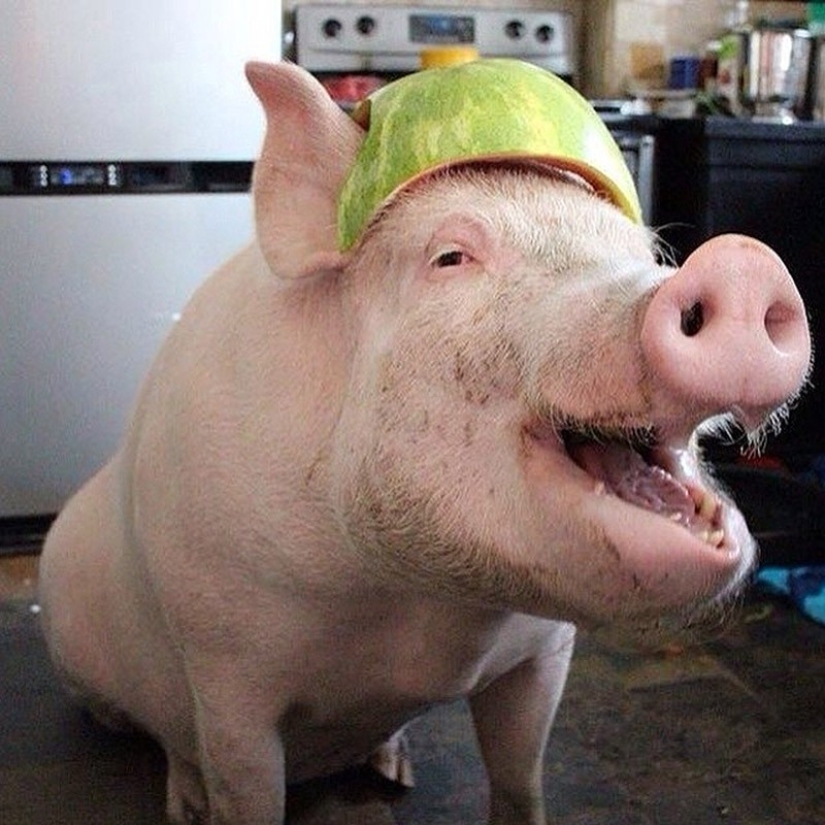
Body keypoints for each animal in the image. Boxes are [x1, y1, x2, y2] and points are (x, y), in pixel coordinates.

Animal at [38, 61, 811, 825]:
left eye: (647, 254)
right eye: (450, 257)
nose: (740, 265)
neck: (423, 606)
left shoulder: (544, 652)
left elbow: (519, 775)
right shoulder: (225, 671)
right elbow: (244, 788)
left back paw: (395, 768)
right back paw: (186, 801)